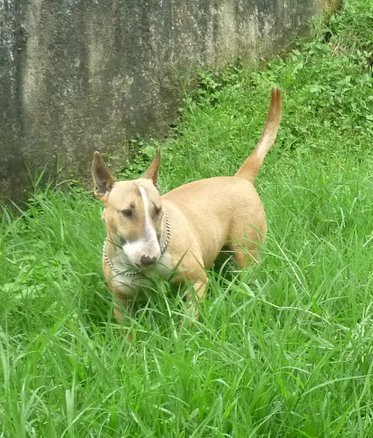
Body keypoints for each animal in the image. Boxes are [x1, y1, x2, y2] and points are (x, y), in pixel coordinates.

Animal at [91, 87, 280, 324]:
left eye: (158, 210)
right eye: (126, 212)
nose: (149, 258)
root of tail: (241, 179)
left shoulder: (196, 282)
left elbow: (188, 321)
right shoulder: (121, 302)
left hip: (247, 250)